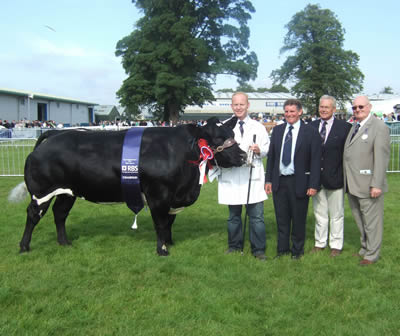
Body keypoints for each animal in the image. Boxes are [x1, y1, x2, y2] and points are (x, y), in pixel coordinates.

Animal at [9, 117, 245, 256]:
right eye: (218, 138)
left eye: (233, 135)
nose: (243, 156)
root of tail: (54, 135)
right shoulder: (158, 195)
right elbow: (161, 223)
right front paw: (162, 249)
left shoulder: (173, 198)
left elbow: (169, 222)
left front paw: (170, 242)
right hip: (42, 192)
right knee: (33, 215)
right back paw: (24, 247)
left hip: (68, 192)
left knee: (60, 213)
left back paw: (64, 242)